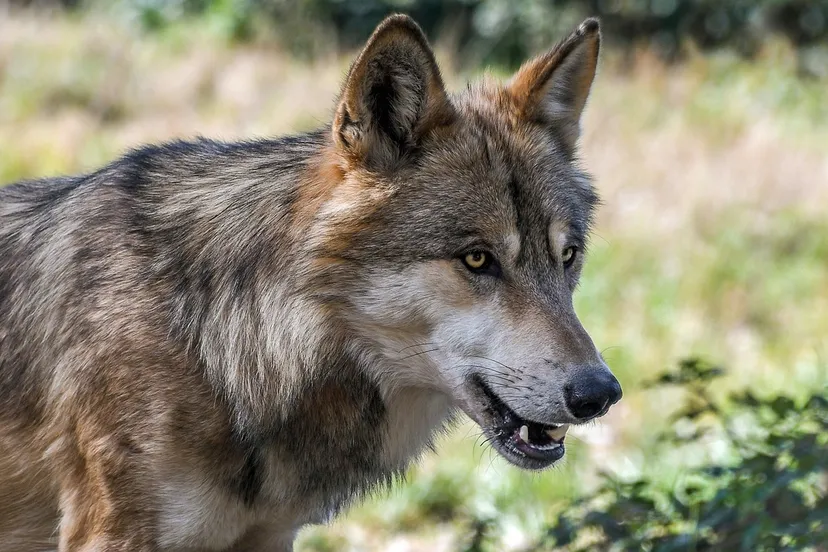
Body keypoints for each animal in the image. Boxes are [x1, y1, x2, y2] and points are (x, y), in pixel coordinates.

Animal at [0, 13, 621, 551]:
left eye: (567, 256)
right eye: (476, 259)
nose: (600, 393)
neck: (217, 344)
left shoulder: (270, 537)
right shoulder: (111, 534)